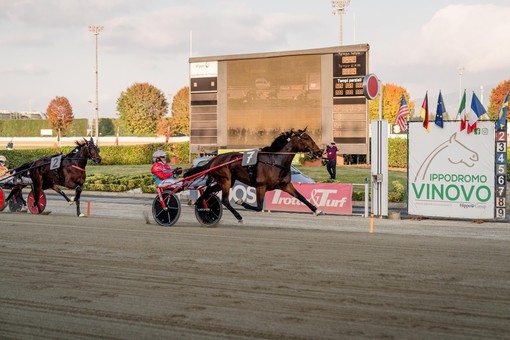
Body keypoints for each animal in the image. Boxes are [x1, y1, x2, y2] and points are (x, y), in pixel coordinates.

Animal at [184, 128, 322, 223]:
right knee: (224, 200)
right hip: (226, 180)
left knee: (209, 191)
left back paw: (203, 206)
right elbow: (259, 207)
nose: (320, 152)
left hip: (226, 181)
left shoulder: (286, 185)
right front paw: (241, 202)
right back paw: (238, 216)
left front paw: (317, 210)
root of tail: (214, 159)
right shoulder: (261, 186)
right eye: (306, 138)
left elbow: (301, 197)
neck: (275, 161)